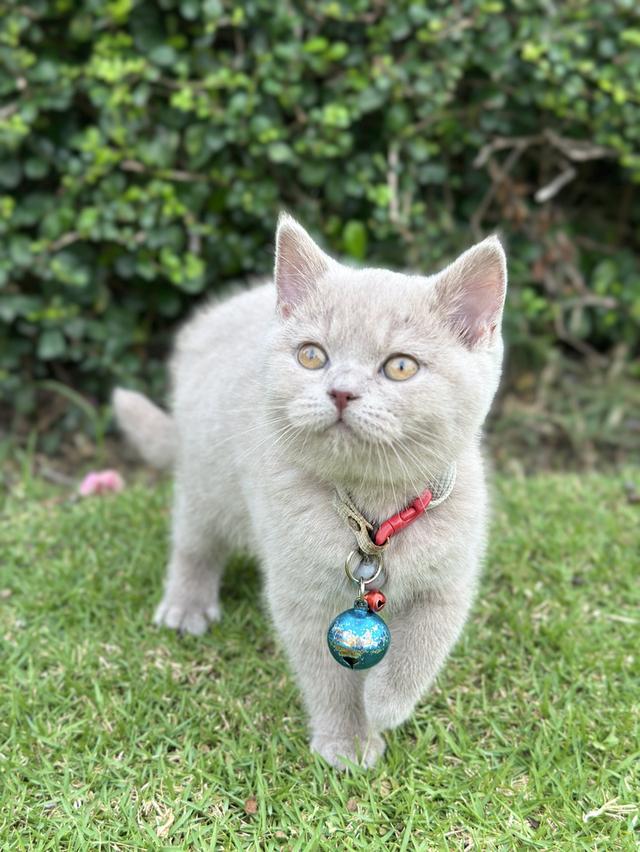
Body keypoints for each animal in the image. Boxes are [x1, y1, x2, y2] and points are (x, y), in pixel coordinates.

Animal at [114, 215, 504, 772]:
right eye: (312, 356)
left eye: (401, 366)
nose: (340, 390)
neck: (372, 514)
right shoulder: (302, 592)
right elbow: (328, 675)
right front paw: (348, 740)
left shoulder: (450, 577)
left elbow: (422, 648)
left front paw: (385, 702)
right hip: (206, 475)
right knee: (194, 542)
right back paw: (186, 605)